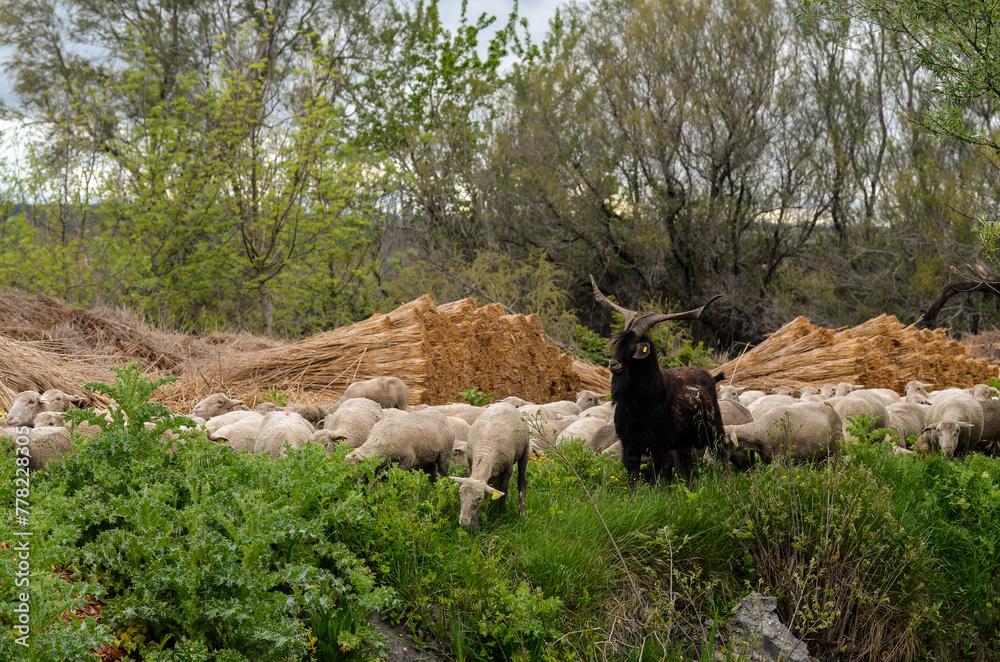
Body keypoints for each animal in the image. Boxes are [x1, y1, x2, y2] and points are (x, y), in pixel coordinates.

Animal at [592, 275, 725, 486]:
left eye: (634, 346)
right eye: (618, 344)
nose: (613, 364)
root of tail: (710, 376)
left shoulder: (660, 444)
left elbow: (659, 475)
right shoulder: (630, 444)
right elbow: (633, 476)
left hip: (714, 429)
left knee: (722, 454)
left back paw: (726, 483)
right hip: (683, 443)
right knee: (686, 467)